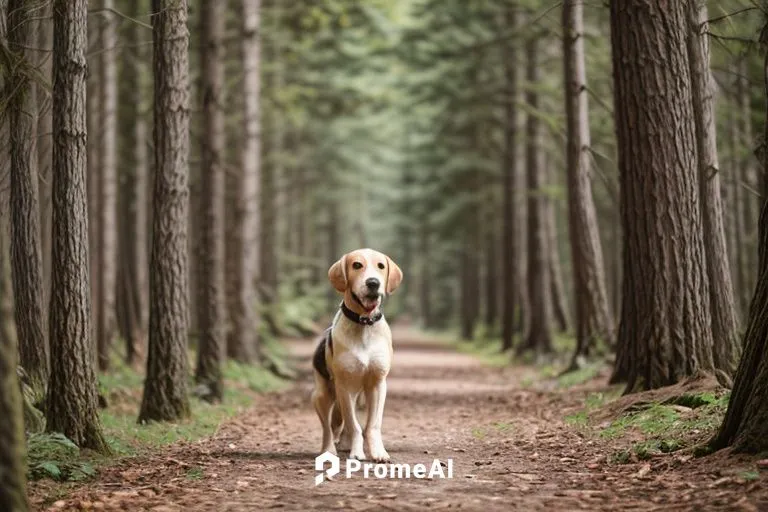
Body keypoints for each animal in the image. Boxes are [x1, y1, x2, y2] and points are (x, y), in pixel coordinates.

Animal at [312, 250, 404, 462]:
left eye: (381, 266)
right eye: (356, 265)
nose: (373, 283)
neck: (364, 323)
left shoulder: (378, 384)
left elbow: (372, 425)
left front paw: (378, 452)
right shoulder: (345, 387)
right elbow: (353, 425)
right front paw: (356, 452)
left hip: (359, 398)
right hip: (322, 396)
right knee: (328, 428)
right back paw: (329, 449)